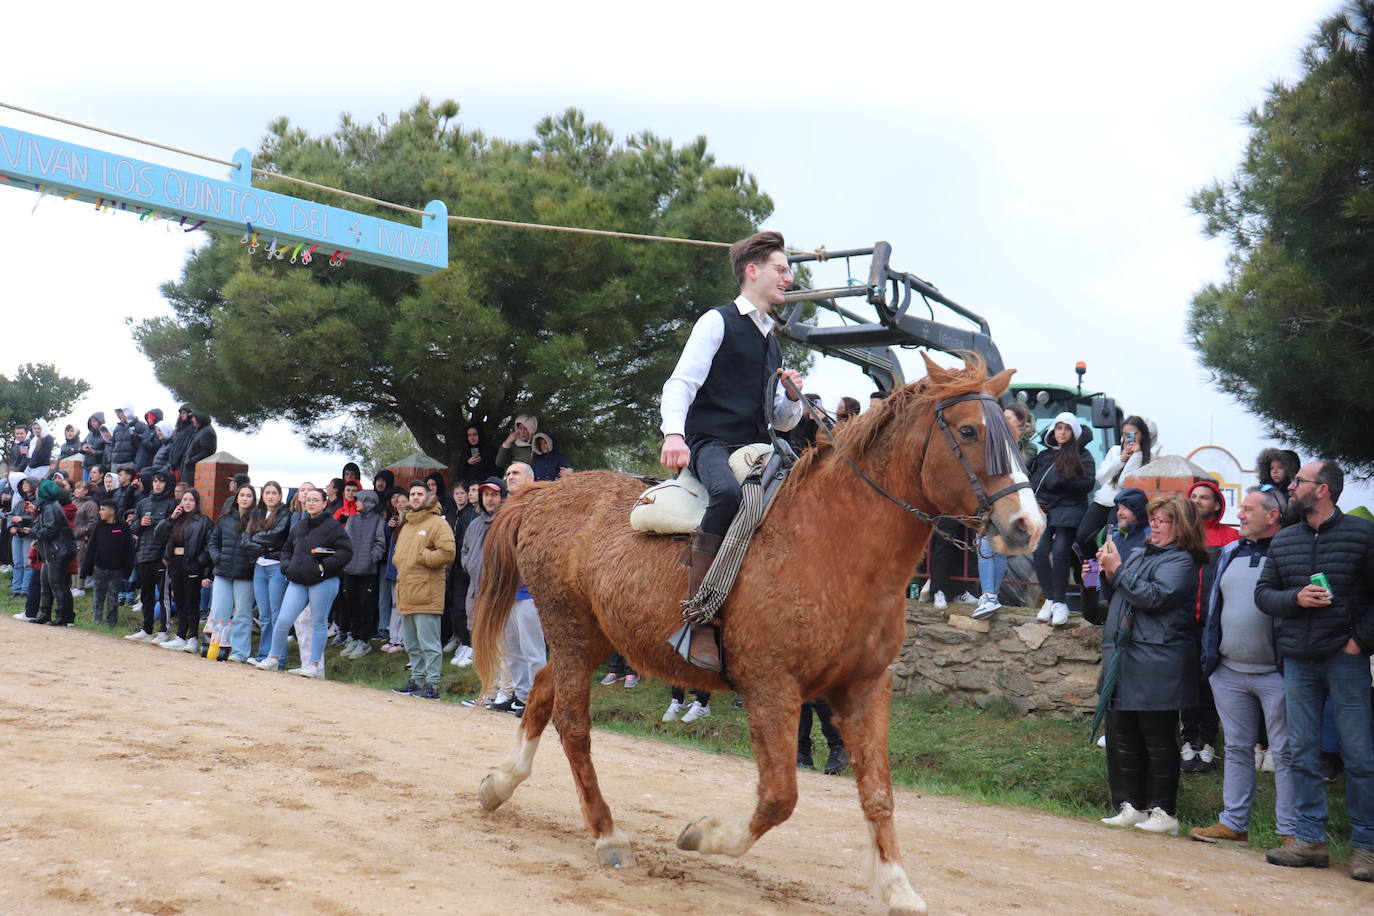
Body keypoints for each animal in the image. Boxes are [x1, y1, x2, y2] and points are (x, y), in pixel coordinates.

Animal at [472, 354, 1038, 911]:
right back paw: (606, 833)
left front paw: (897, 887)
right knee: (574, 726)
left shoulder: (865, 688)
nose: (1027, 526)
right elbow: (779, 796)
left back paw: (500, 784)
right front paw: (703, 835)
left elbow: (878, 792)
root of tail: (544, 493)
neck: (832, 543)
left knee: (541, 687)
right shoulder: (772, 687)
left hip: (592, 640)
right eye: (968, 430)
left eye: (1015, 435)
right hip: (572, 630)